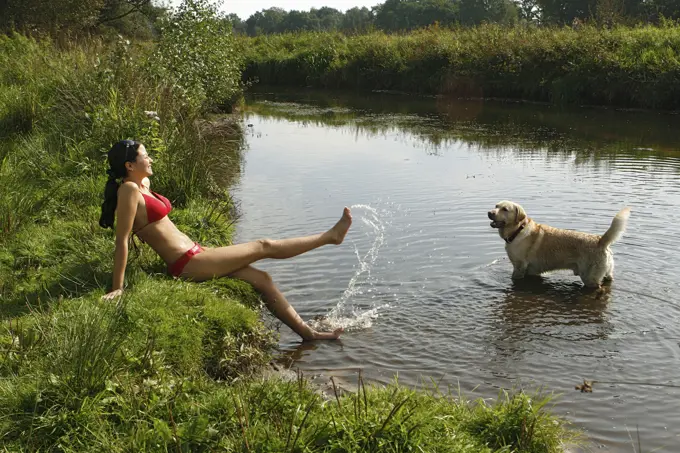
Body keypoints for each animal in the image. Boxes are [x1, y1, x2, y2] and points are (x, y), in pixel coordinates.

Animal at [486, 200, 628, 288]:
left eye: (505, 209)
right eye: (496, 206)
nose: (489, 212)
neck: (518, 230)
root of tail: (600, 241)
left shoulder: (519, 267)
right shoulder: (533, 271)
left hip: (590, 278)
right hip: (607, 273)